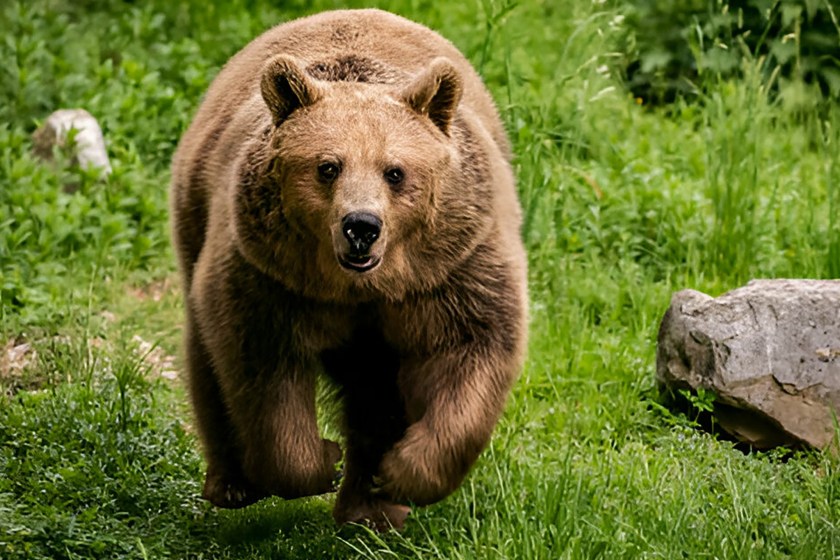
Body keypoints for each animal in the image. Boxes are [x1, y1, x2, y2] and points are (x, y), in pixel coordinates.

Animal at [170, 8, 527, 531]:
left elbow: (471, 348)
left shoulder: (449, 270)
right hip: (198, 217)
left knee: (375, 391)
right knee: (208, 360)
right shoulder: (272, 276)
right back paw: (234, 484)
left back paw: (371, 508)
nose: (361, 226)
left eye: (395, 171)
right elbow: (262, 368)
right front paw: (322, 459)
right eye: (328, 167)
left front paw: (400, 472)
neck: (360, 287)